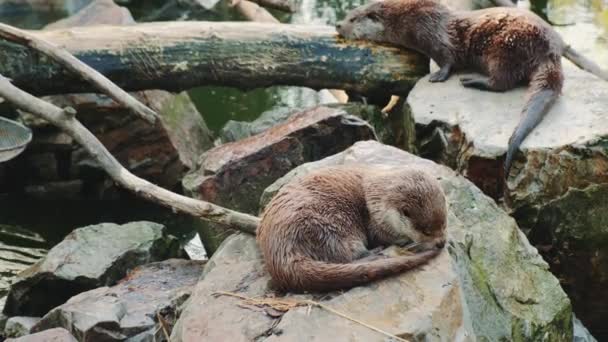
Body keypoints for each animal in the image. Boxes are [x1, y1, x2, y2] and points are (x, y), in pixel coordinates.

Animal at [256, 165, 446, 292]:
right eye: (426, 231)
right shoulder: (376, 223)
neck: (376, 201)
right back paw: (376, 254)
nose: (441, 243)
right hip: (327, 228)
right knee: (346, 256)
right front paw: (407, 242)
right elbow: (383, 237)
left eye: (444, 224)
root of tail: (281, 251)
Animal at [338, 0, 608, 176]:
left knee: (503, 81)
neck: (406, 19)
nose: (339, 25)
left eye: (352, 18)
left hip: (504, 47)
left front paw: (438, 76)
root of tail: (551, 50)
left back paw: (473, 81)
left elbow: (447, 58)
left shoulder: (432, 33)